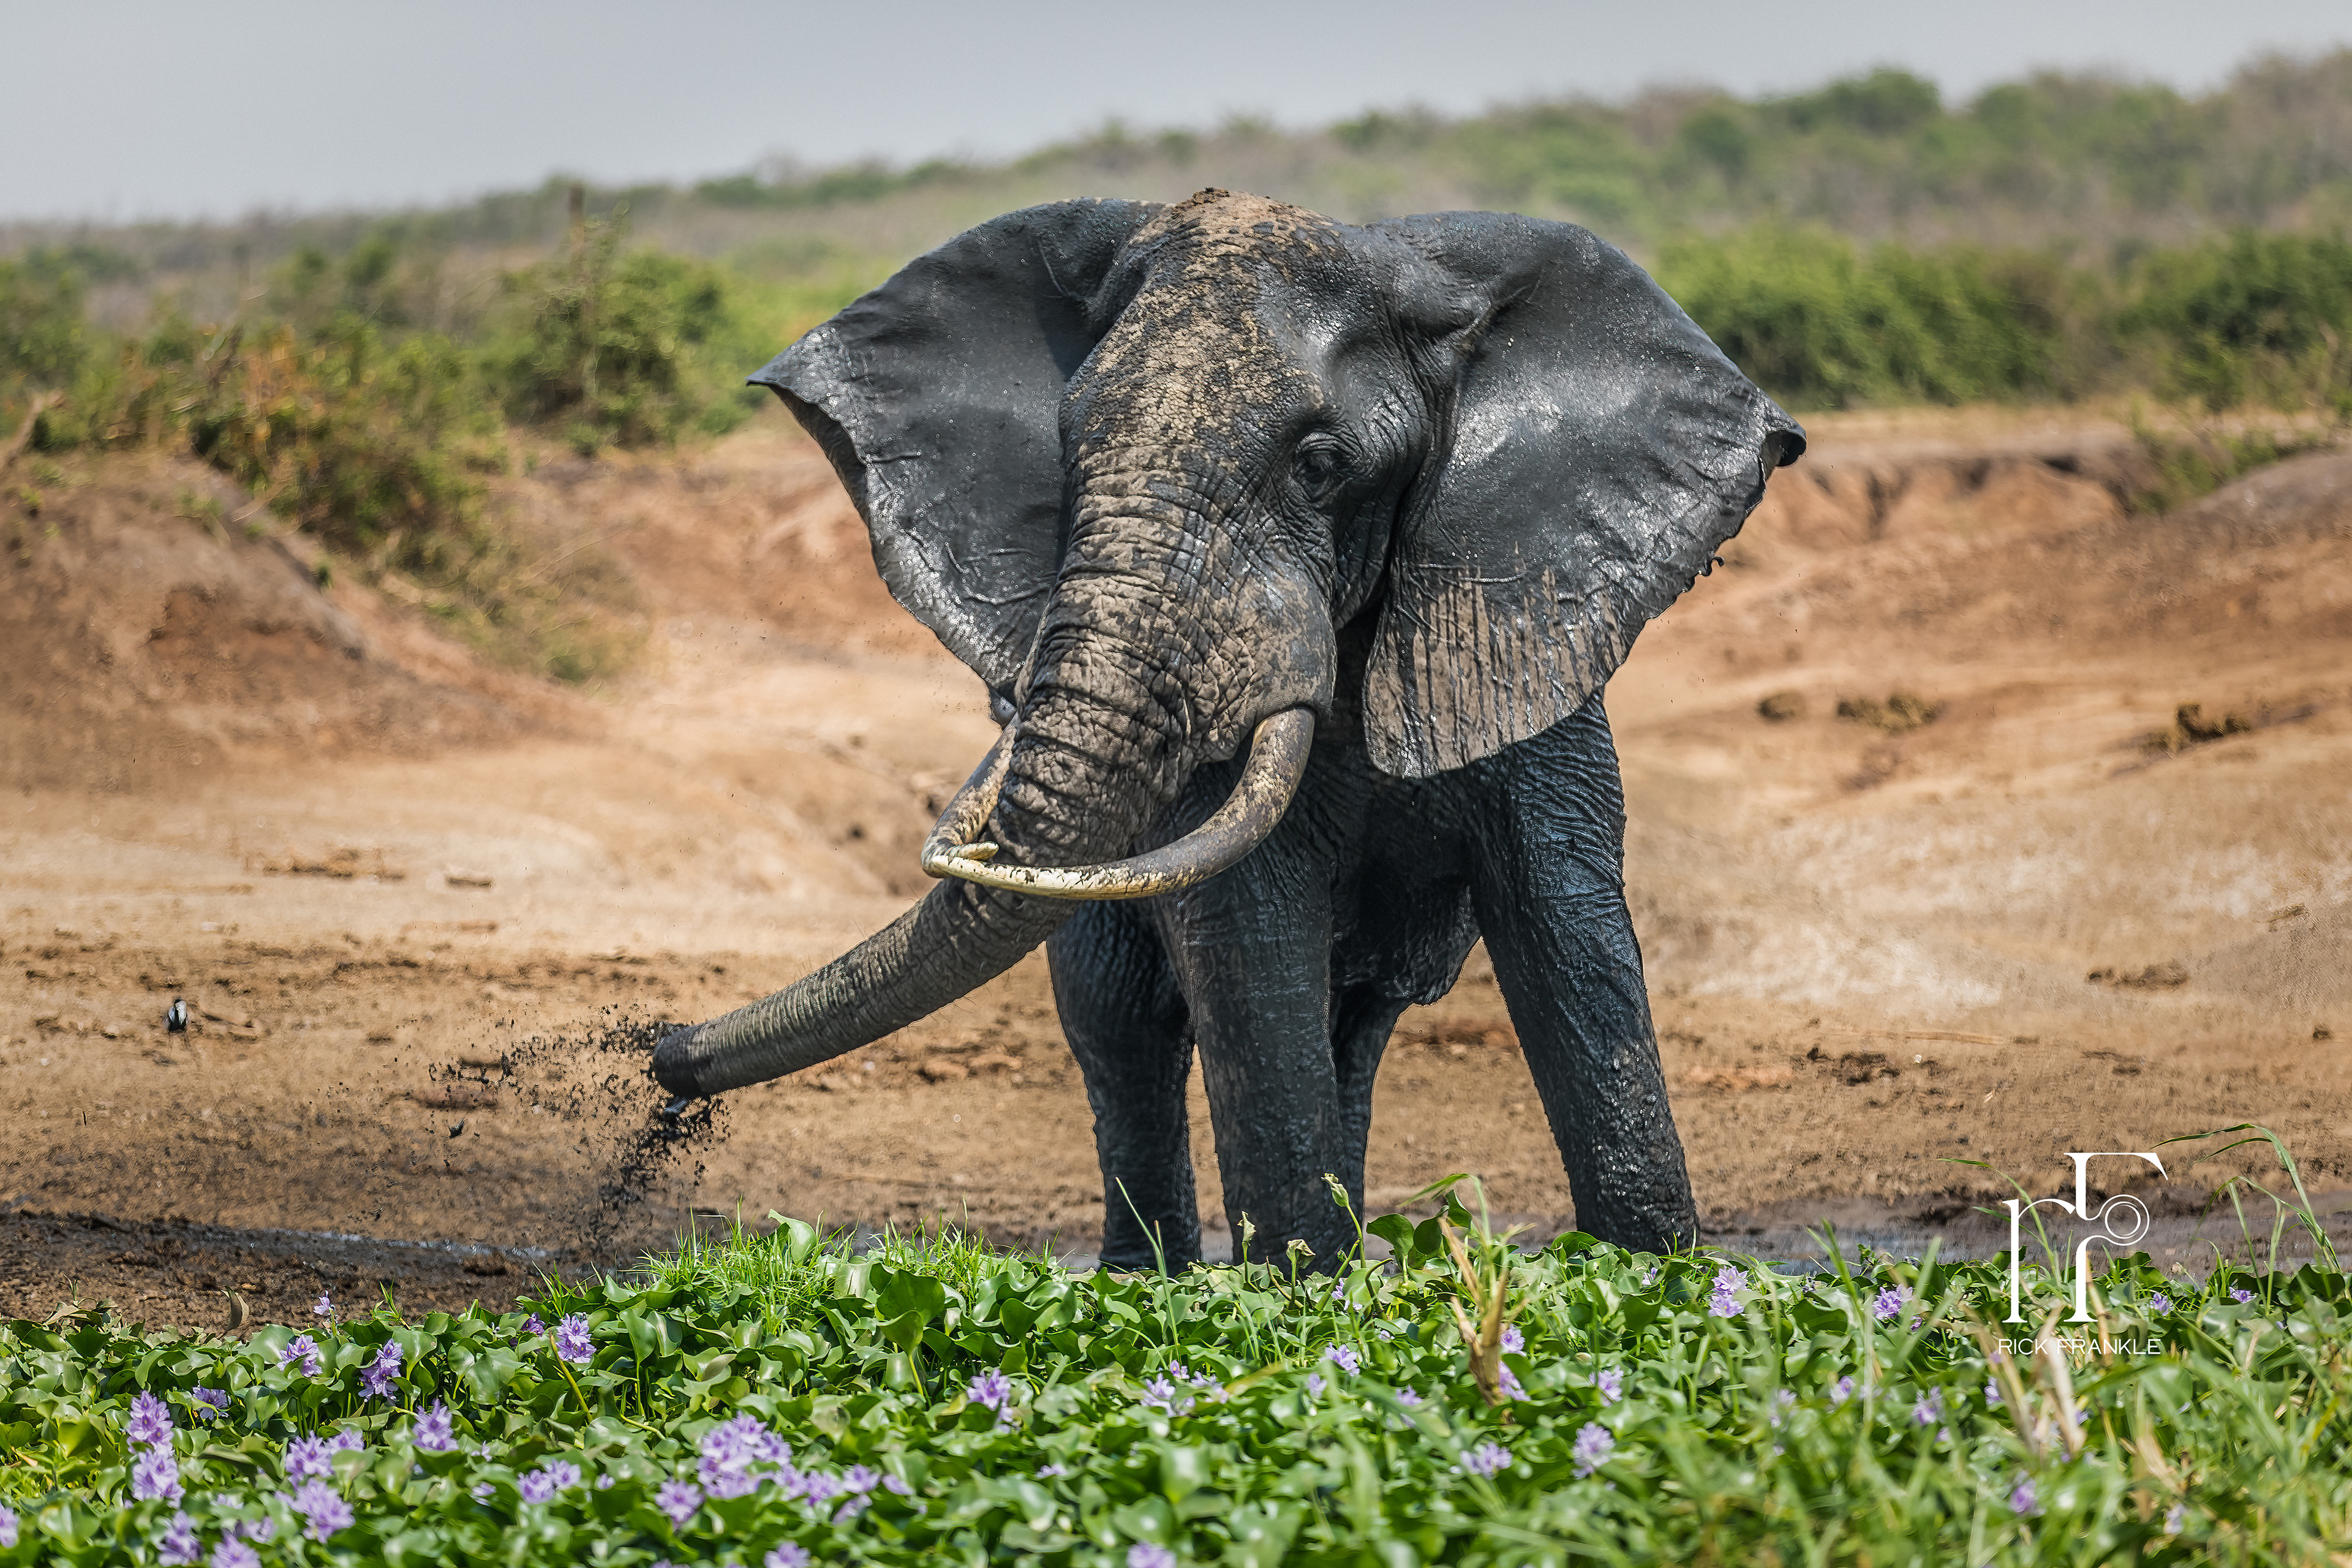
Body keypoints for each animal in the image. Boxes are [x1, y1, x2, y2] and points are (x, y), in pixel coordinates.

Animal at [653, 188, 1803, 1267]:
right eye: (1066, 447)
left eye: (1320, 466)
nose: (662, 1061)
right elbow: (1250, 928)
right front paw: (1303, 1297)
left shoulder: (1523, 617)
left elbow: (1565, 924)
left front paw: (1655, 1279)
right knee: (1122, 1031)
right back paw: (1146, 1282)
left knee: (1348, 1030)